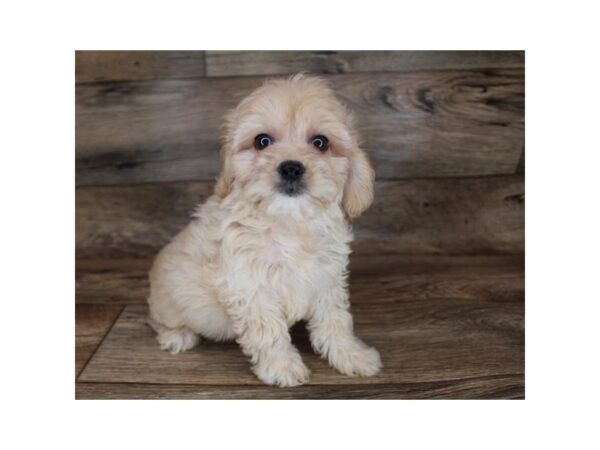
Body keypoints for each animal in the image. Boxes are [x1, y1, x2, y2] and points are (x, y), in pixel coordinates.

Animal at [146, 74, 380, 386]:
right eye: (262, 141)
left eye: (321, 142)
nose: (291, 168)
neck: (288, 222)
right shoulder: (249, 286)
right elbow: (268, 331)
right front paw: (282, 367)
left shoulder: (326, 279)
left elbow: (335, 321)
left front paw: (351, 355)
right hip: (169, 301)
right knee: (160, 321)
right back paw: (177, 336)